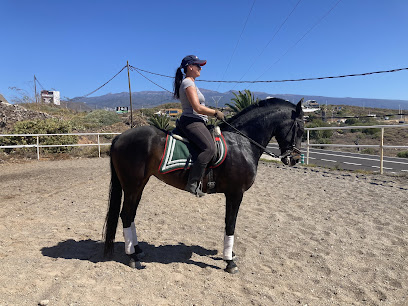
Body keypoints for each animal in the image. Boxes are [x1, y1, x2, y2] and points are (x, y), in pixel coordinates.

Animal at [103, 97, 304, 272]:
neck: (242, 142)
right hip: (132, 185)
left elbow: (229, 223)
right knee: (126, 215)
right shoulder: (236, 193)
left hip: (138, 185)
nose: (294, 159)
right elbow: (230, 224)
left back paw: (137, 250)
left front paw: (230, 254)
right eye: (300, 129)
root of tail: (119, 138)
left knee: (130, 215)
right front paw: (229, 261)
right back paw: (132, 257)